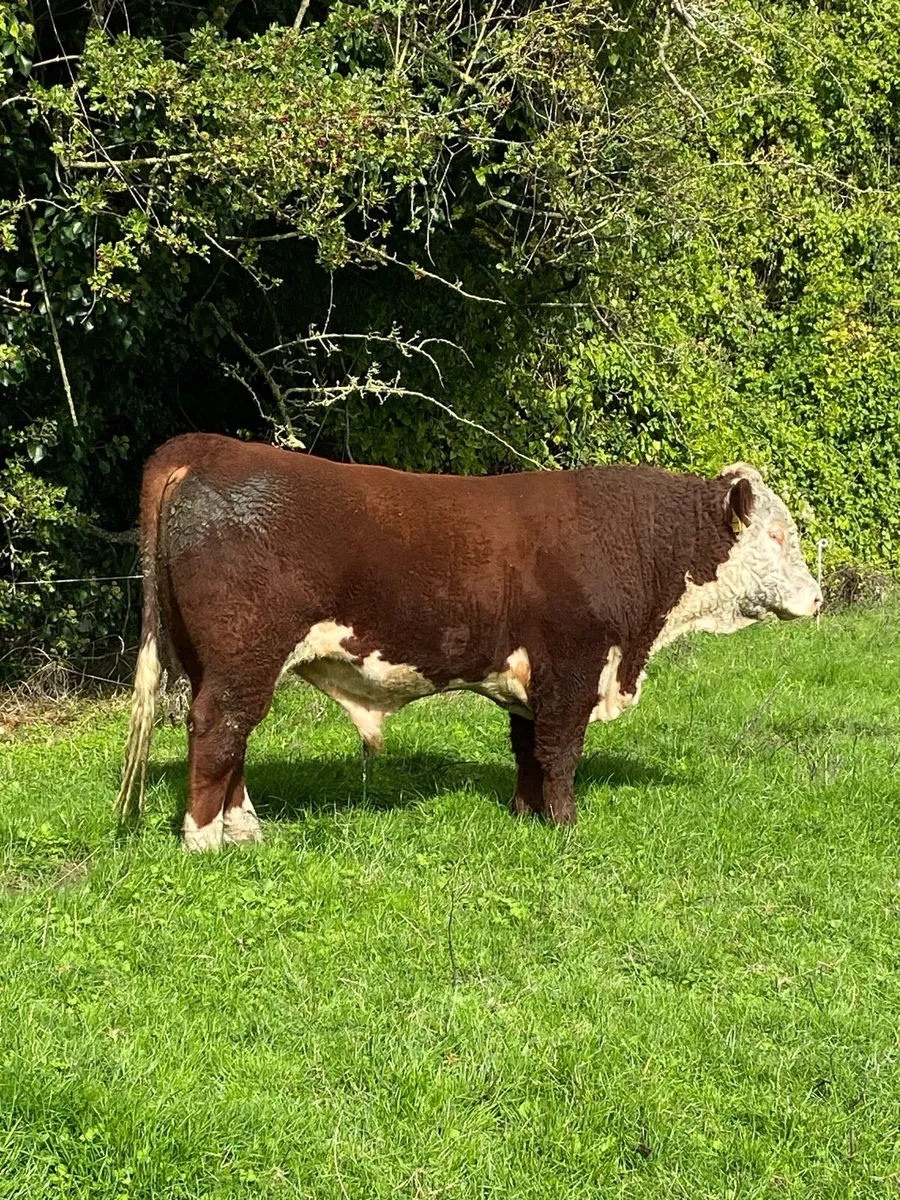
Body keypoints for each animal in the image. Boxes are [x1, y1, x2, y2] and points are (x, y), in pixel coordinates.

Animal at [116, 434, 822, 850]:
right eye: (778, 535)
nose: (817, 599)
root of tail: (209, 449)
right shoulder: (572, 664)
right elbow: (560, 750)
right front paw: (566, 825)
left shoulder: (534, 675)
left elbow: (528, 749)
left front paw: (526, 814)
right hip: (244, 655)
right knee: (219, 730)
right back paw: (206, 841)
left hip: (216, 661)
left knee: (231, 736)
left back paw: (245, 831)